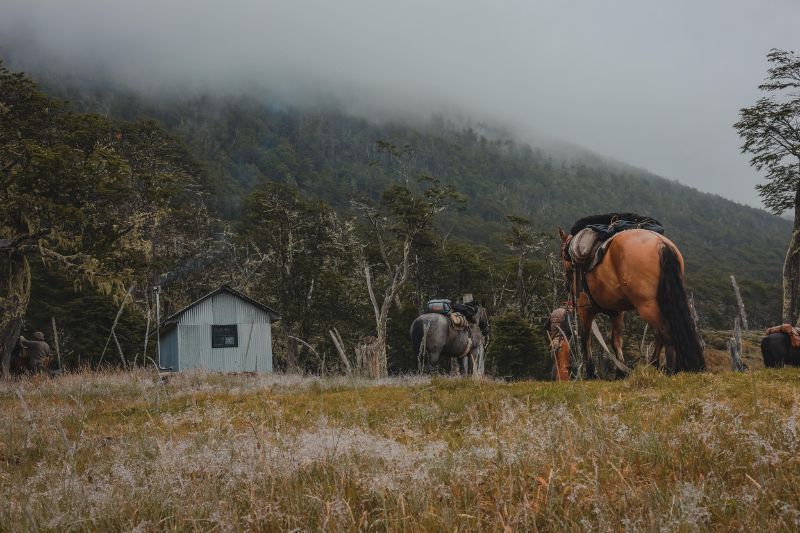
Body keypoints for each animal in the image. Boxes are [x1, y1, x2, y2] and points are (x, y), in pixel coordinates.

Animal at [558, 220, 705, 377]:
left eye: (563, 254)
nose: (567, 286)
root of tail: (661, 243)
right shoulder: (617, 312)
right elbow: (615, 341)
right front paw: (620, 372)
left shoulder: (585, 309)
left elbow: (586, 339)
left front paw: (591, 373)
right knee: (660, 335)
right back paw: (654, 364)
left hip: (647, 306)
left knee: (666, 334)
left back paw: (668, 370)